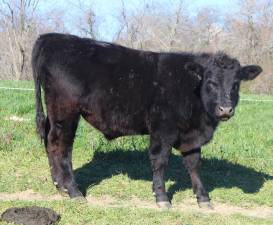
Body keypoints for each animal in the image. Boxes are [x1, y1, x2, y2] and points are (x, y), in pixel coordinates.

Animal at [31, 32, 262, 208]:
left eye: (236, 84)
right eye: (211, 82)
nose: (225, 109)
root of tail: (50, 37)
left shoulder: (191, 135)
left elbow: (194, 164)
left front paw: (203, 198)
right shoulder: (163, 129)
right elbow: (160, 161)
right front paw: (161, 197)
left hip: (54, 114)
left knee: (50, 142)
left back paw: (59, 185)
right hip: (66, 113)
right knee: (61, 147)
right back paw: (73, 191)